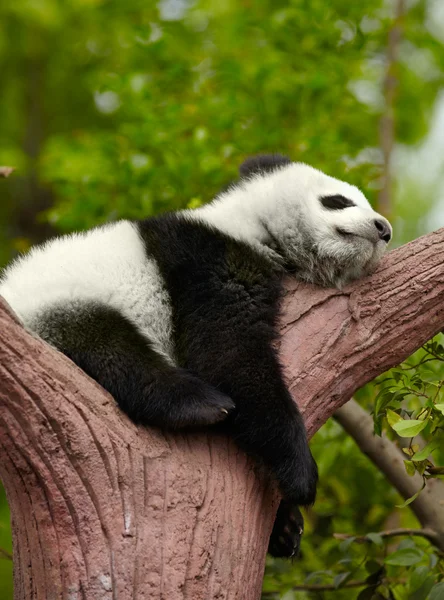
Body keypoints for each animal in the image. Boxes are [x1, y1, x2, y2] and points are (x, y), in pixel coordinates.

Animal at [0, 154, 392, 556]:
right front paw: (300, 474)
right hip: (56, 308)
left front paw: (286, 525)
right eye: (338, 200)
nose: (384, 229)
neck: (248, 224)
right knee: (109, 345)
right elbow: (228, 354)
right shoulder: (211, 258)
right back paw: (199, 404)